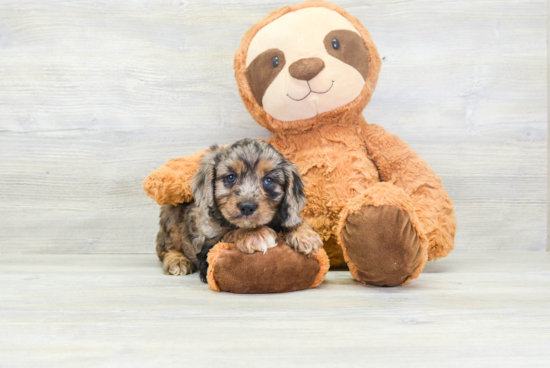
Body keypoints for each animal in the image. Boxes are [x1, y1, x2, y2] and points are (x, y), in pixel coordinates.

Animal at [154, 138, 324, 282]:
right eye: (230, 177)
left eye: (268, 180)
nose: (247, 207)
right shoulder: (209, 243)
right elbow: (229, 233)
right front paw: (254, 235)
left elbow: (291, 221)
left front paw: (305, 235)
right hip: (171, 217)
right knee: (165, 249)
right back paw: (177, 261)